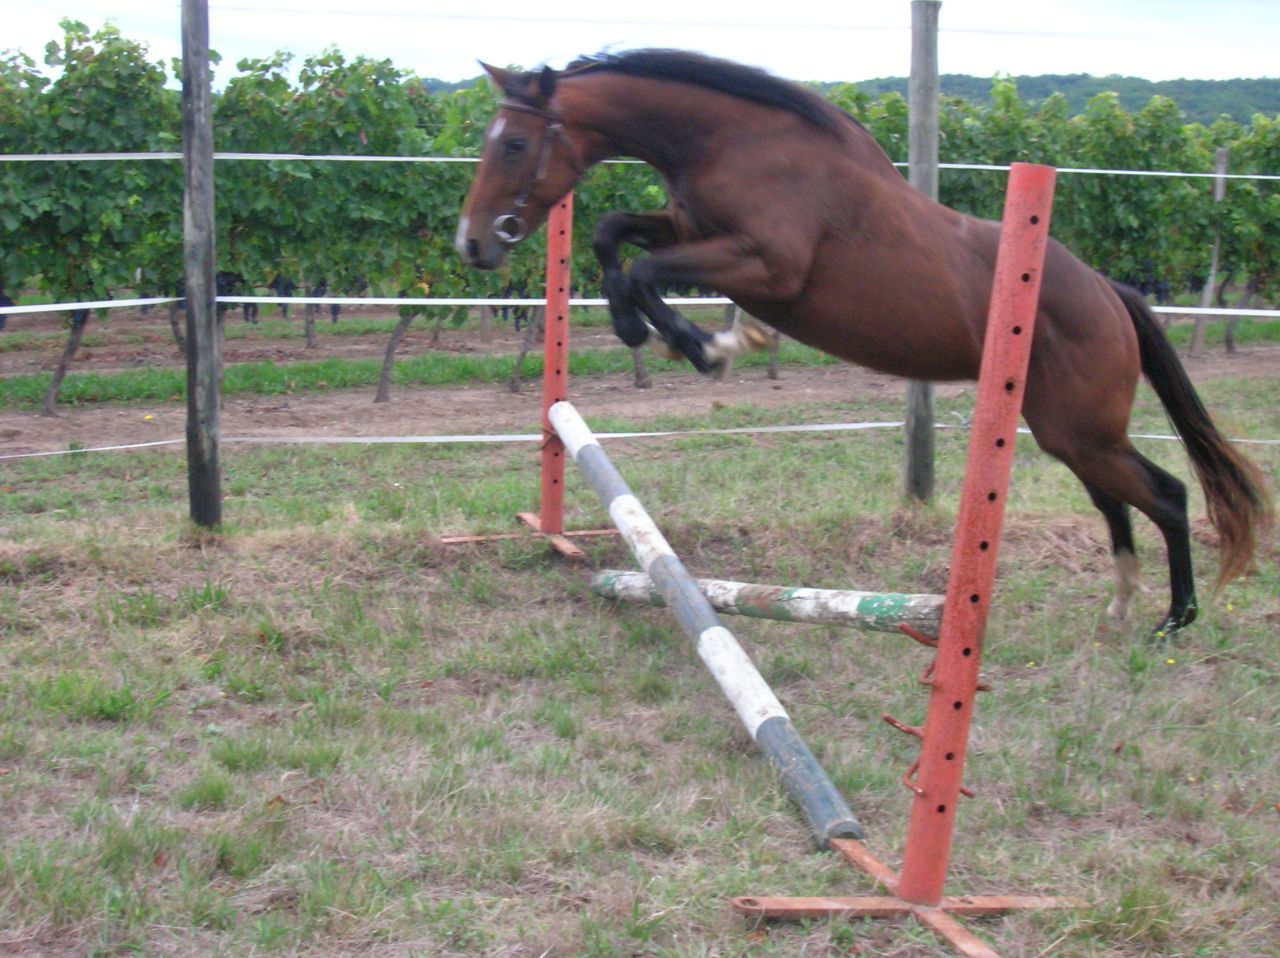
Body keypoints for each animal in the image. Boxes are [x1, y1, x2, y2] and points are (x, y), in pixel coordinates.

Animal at [455, 49, 1271, 638]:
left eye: (517, 142)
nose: (472, 245)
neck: (730, 142)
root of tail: (1111, 293)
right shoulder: (689, 228)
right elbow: (612, 232)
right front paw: (654, 331)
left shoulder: (765, 264)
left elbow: (646, 268)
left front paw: (706, 344)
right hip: (1066, 430)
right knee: (1119, 502)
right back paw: (1122, 607)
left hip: (1082, 429)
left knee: (1165, 495)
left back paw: (1174, 620)